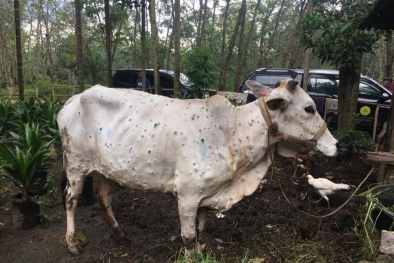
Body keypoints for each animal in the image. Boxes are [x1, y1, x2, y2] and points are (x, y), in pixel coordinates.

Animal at [57, 79, 338, 256]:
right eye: (309, 108)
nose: (336, 144)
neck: (233, 133)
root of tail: (72, 100)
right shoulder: (188, 195)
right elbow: (189, 236)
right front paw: (191, 253)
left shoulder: (207, 194)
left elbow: (200, 228)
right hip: (75, 164)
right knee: (71, 200)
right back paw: (71, 243)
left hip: (105, 168)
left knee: (103, 197)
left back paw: (119, 234)